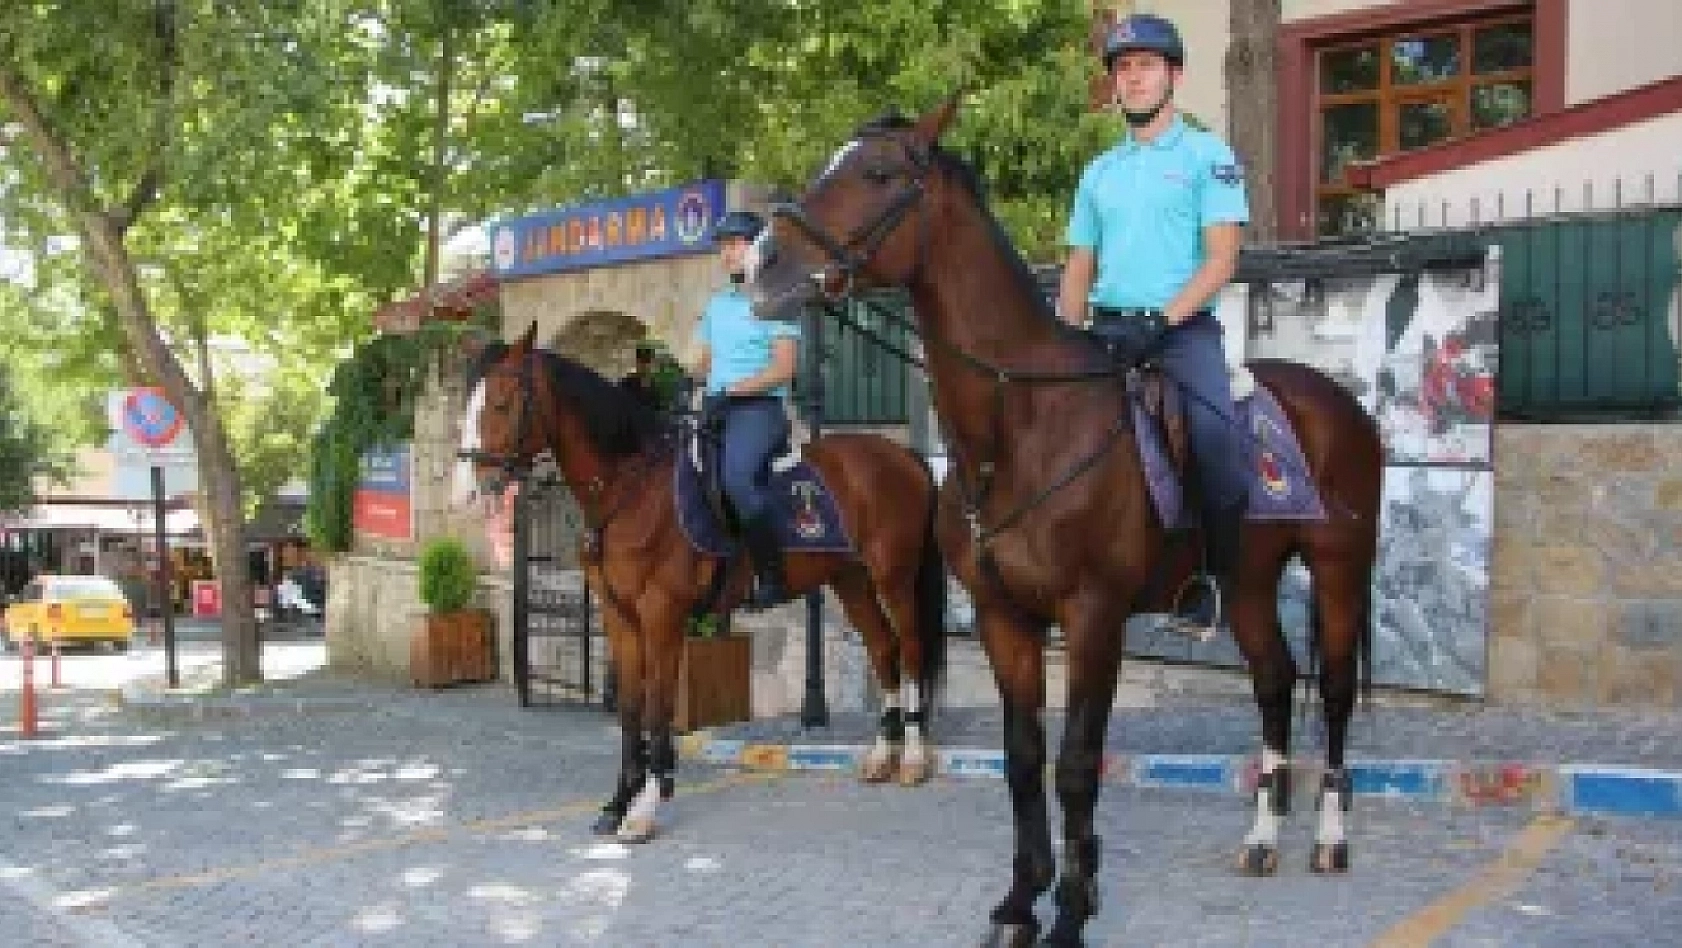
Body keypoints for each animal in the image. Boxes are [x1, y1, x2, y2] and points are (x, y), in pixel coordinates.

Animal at [454, 327, 955, 843]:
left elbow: (658, 706)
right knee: (883, 649)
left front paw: (645, 807)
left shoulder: (661, 614)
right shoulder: (619, 615)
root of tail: (902, 454)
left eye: (502, 402)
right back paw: (881, 756)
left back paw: (912, 758)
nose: (469, 488)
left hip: (894, 578)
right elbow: (630, 707)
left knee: (910, 650)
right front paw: (617, 802)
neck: (630, 490)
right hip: (850, 579)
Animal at [750, 98, 1379, 948]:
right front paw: (1023, 898)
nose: (760, 264)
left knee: (1335, 691)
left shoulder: (1093, 617)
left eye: (877, 172)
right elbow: (1025, 759)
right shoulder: (1003, 618)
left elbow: (1077, 763)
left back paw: (1328, 838)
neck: (1022, 428)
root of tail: (1338, 399)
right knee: (1275, 683)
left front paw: (1074, 909)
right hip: (1247, 582)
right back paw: (1262, 837)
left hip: (1340, 569)